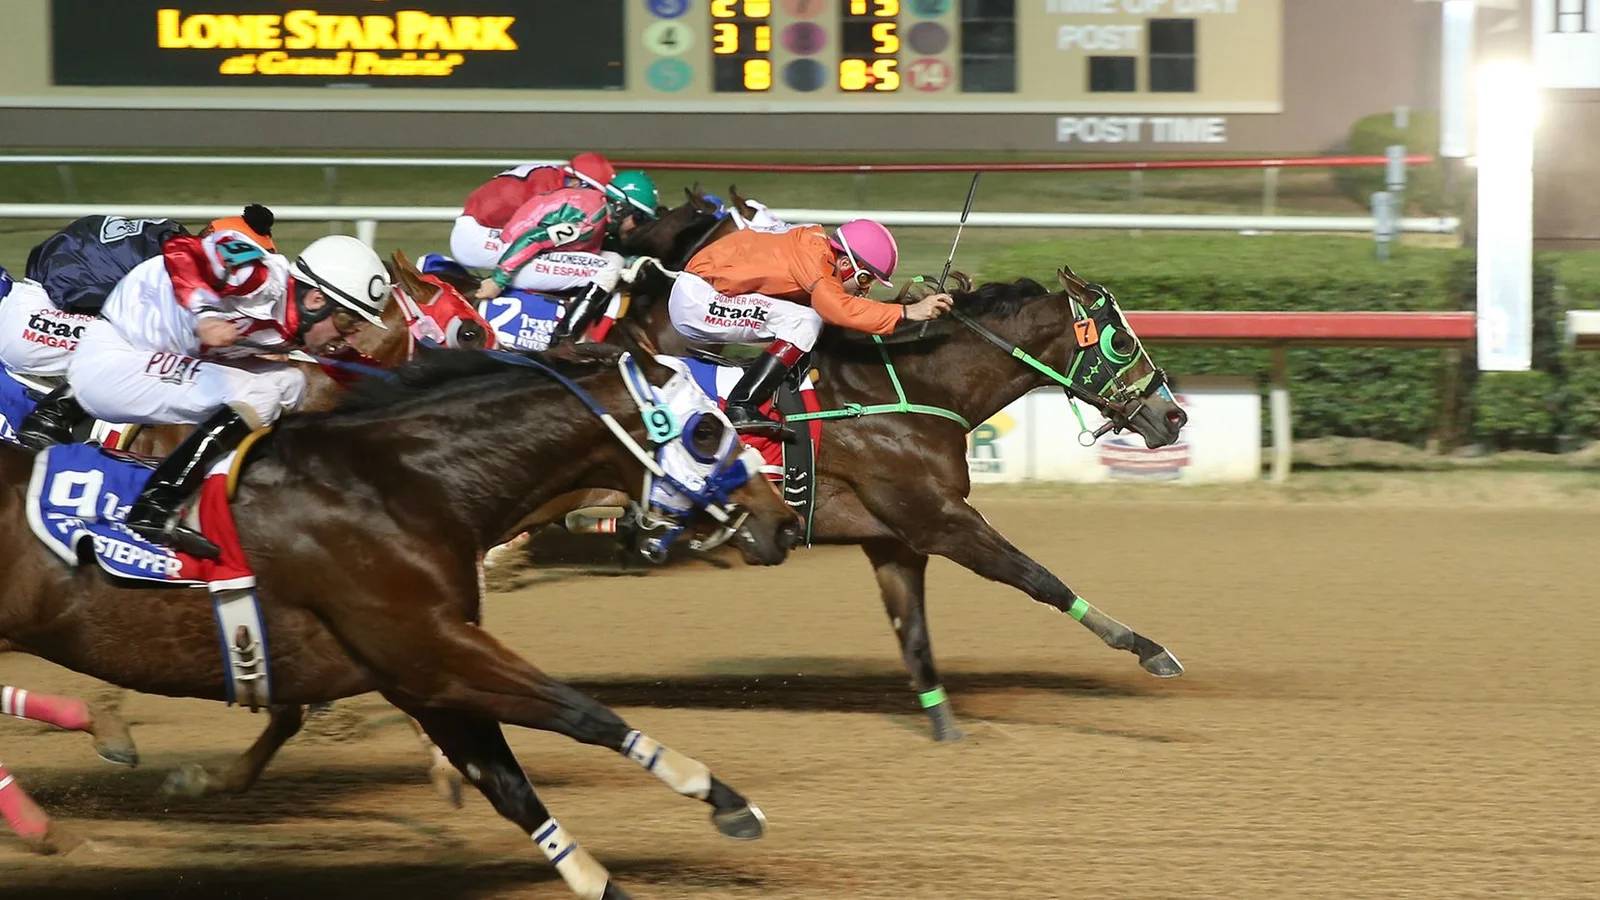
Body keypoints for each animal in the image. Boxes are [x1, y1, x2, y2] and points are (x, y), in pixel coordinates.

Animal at [0, 345, 801, 897]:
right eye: (706, 431)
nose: (784, 522)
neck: (405, 483)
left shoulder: (419, 675)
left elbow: (509, 785)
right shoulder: (432, 649)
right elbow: (586, 714)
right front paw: (726, 801)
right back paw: (52, 822)